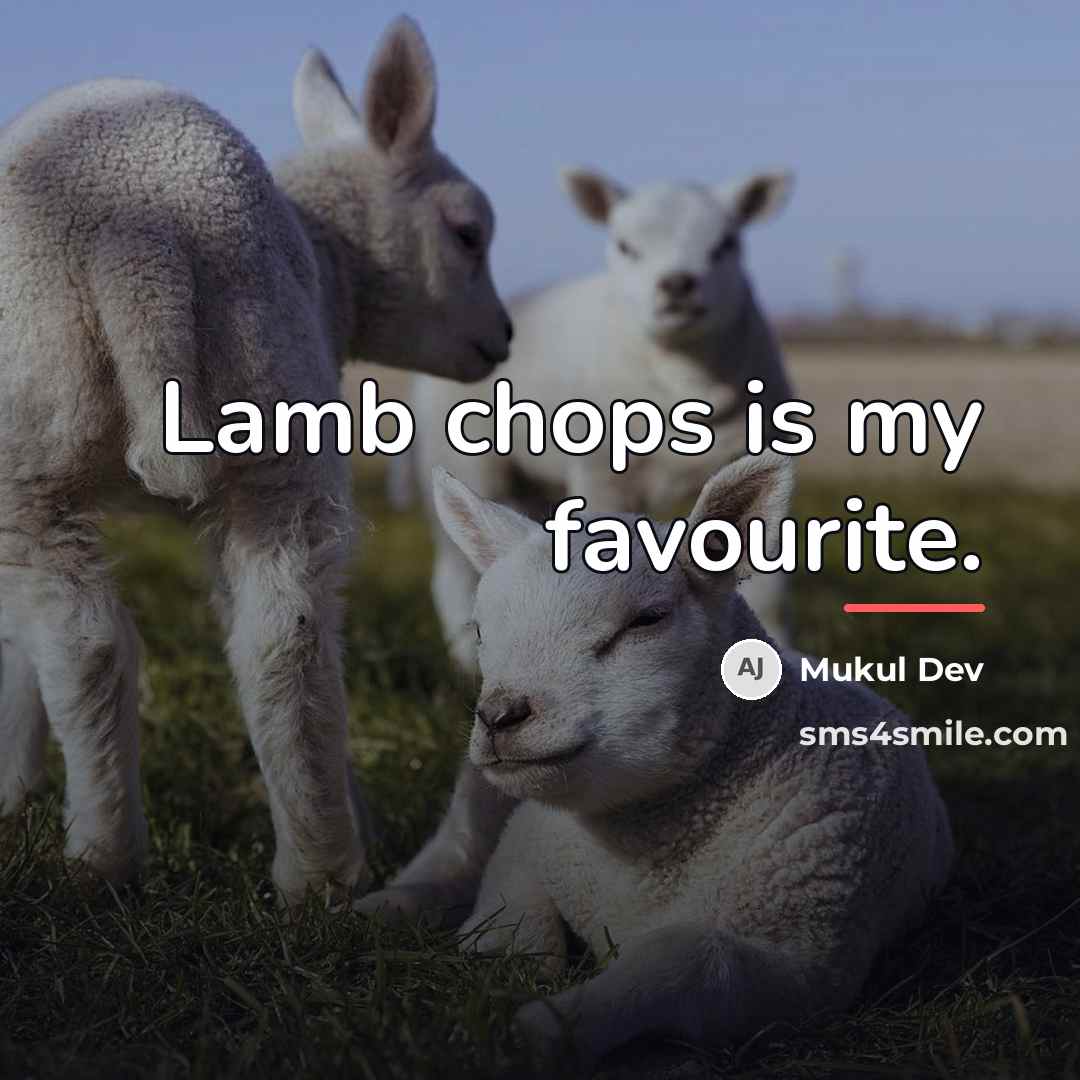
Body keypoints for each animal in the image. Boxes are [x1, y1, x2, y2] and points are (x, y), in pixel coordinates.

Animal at [0, 16, 512, 903]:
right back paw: (300, 868)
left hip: (76, 440)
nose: (505, 336)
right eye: (467, 232)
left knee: (110, 643)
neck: (332, 260)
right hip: (243, 411)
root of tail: (140, 240)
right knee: (269, 638)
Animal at [395, 166, 798, 673]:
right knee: (454, 570)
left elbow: (769, 589)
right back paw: (465, 658)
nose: (678, 284)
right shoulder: (603, 472)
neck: (685, 381)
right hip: (464, 457)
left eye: (726, 243)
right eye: (625, 246)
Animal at [406, 457, 953, 1072]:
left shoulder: (806, 964)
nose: (500, 715)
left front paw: (541, 1026)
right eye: (479, 630)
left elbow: (684, 957)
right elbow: (508, 925)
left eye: (648, 619)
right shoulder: (523, 848)